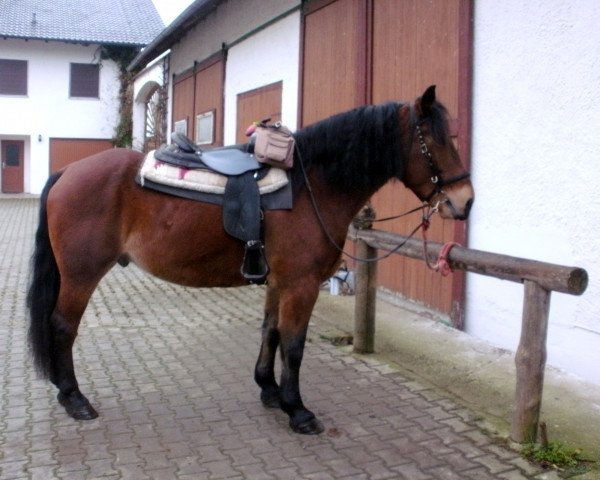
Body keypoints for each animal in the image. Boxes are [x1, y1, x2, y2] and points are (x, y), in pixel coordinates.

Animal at [25, 85, 474, 436]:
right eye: (435, 141)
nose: (464, 202)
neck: (310, 185)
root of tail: (67, 171)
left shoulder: (279, 283)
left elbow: (270, 332)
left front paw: (270, 391)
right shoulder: (301, 285)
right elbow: (294, 345)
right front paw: (298, 410)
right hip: (81, 275)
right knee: (63, 327)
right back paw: (74, 398)